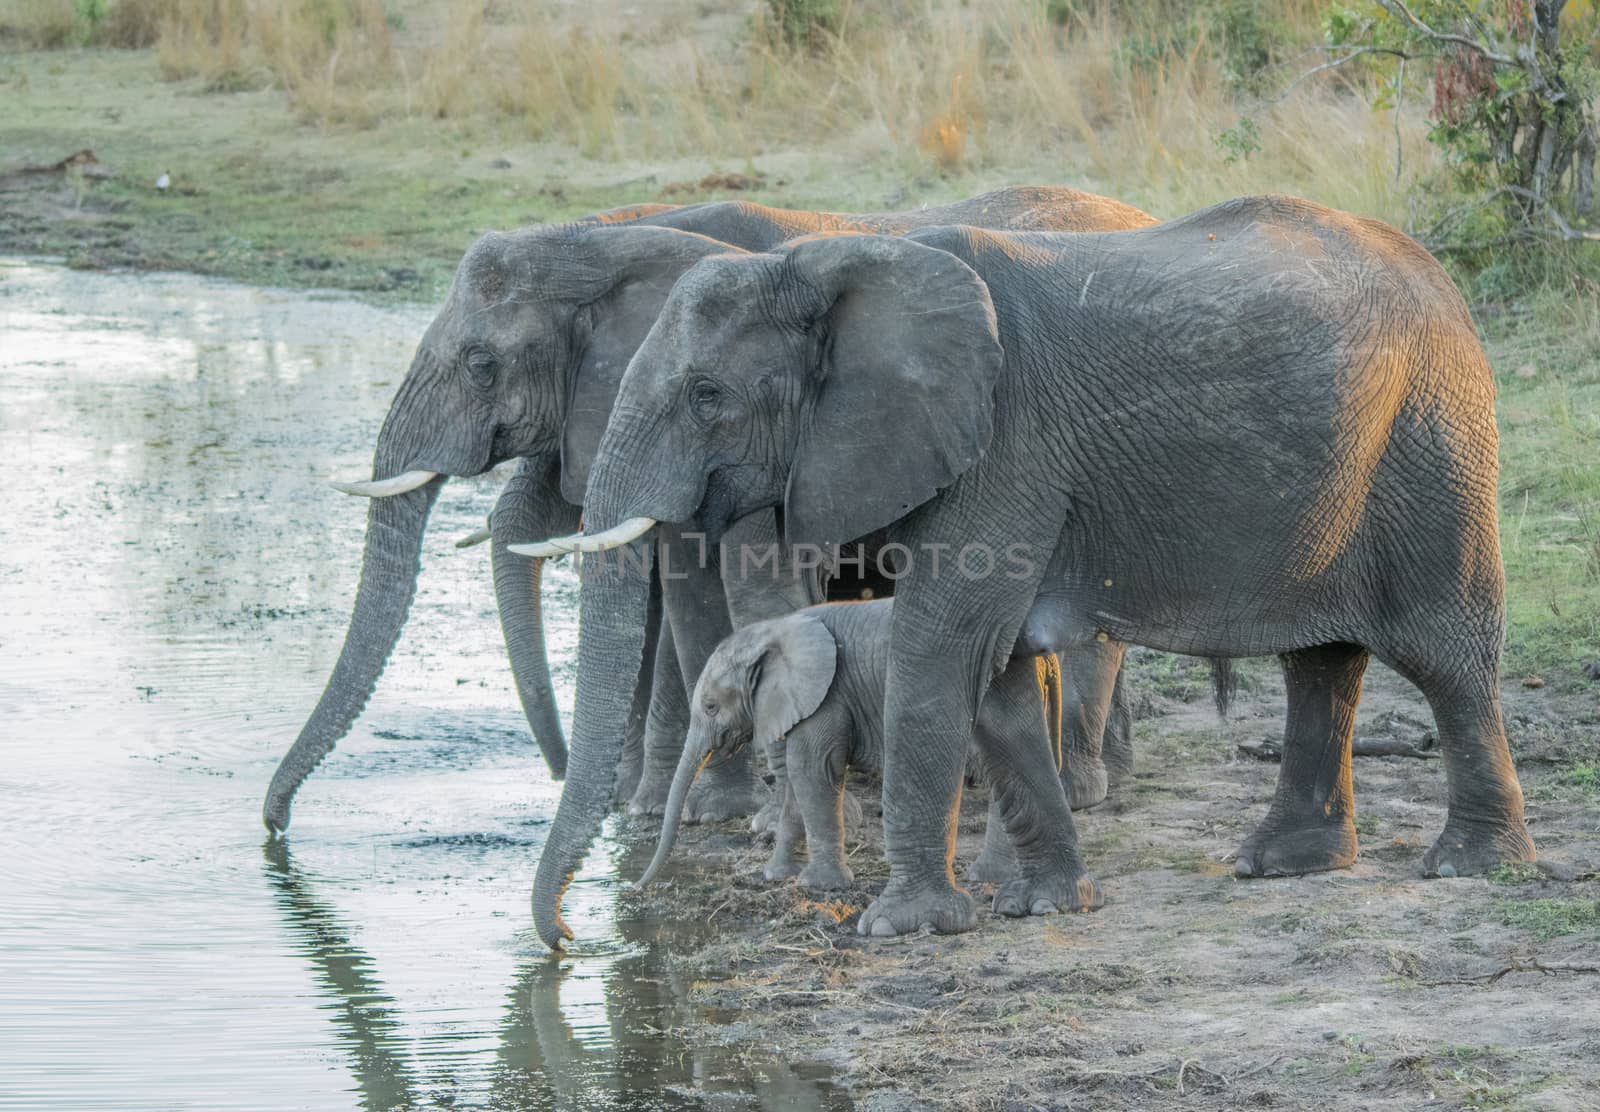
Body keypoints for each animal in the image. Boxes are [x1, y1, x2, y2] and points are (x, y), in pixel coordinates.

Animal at [268, 187, 1158, 838]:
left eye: (481, 364)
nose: (274, 829)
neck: (599, 240)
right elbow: (680, 588)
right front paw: (659, 803)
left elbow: (721, 587)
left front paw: (705, 811)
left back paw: (1073, 789)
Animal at [636, 604, 1100, 915]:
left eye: (711, 707)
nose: (636, 888)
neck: (773, 631)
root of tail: (1047, 659)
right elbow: (798, 784)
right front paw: (778, 876)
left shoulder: (828, 694)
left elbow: (812, 770)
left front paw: (820, 887)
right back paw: (993, 878)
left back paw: (990, 878)